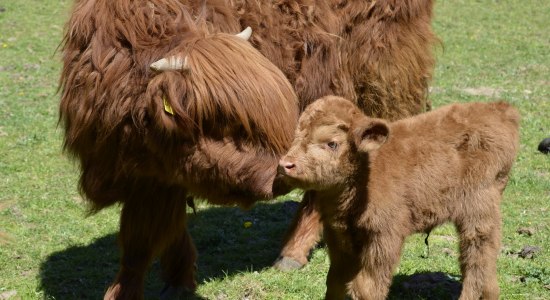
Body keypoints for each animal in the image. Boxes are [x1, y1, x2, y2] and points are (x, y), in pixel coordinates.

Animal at [59, 1, 440, 298]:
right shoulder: (144, 174)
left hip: (374, 85)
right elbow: (152, 235)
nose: (280, 177)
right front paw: (178, 279)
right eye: (225, 123)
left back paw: (292, 253)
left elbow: (142, 239)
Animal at [280, 96, 520, 300]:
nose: (286, 165)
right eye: (297, 136)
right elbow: (335, 281)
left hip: (478, 209)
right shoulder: (339, 236)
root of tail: (500, 109)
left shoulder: (384, 237)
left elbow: (366, 286)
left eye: (332, 143)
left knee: (476, 257)